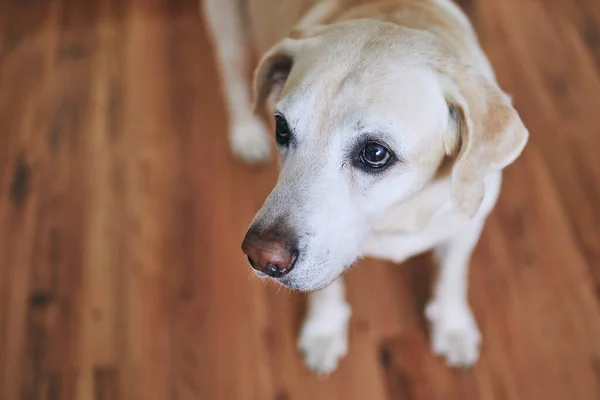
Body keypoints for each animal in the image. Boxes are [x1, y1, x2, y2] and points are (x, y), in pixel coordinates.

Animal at [204, 0, 528, 376]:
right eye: (281, 128)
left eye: (375, 153)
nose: (261, 256)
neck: (399, 211)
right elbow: (326, 291)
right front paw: (324, 330)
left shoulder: (467, 224)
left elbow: (452, 276)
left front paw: (453, 327)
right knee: (231, 73)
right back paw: (245, 132)